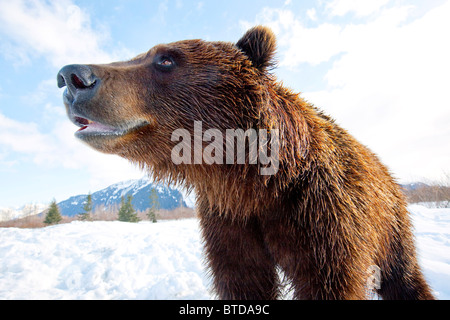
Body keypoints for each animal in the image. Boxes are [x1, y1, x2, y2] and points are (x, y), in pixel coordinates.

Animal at [58, 25, 434, 300]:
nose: (70, 77)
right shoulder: (230, 222)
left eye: (166, 59)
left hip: (388, 221)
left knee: (403, 276)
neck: (252, 183)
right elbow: (243, 280)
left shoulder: (322, 214)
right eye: (142, 54)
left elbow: (330, 282)